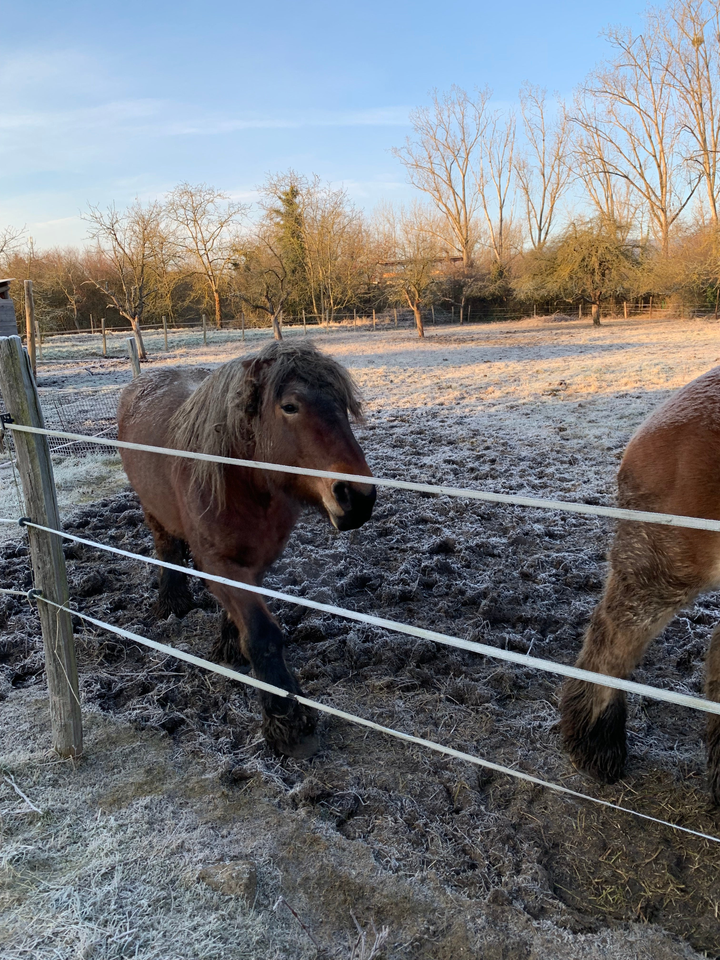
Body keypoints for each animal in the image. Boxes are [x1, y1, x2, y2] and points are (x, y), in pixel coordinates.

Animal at [118, 344, 376, 756]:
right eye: (290, 406)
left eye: (342, 404)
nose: (359, 497)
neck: (238, 477)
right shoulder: (216, 562)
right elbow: (262, 633)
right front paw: (288, 722)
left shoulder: (258, 558)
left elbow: (243, 616)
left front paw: (230, 646)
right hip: (153, 511)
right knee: (167, 550)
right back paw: (172, 602)